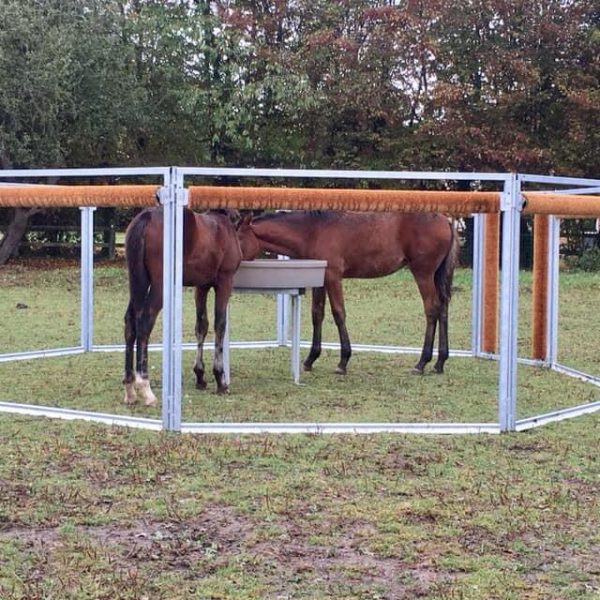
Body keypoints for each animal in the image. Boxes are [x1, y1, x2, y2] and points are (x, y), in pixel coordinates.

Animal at [124, 205, 248, 404]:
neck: (224, 225)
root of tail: (147, 217)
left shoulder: (202, 286)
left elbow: (201, 326)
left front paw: (200, 376)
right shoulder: (224, 282)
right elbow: (220, 325)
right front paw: (220, 380)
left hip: (139, 283)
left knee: (130, 323)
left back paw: (129, 388)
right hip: (159, 287)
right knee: (144, 323)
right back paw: (145, 388)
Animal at [239, 209, 460, 372]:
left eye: (238, 238)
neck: (313, 231)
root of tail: (446, 221)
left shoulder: (333, 278)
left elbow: (339, 314)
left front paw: (343, 361)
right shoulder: (321, 280)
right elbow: (317, 314)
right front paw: (310, 359)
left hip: (423, 274)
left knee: (432, 310)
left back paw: (422, 363)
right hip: (436, 276)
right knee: (443, 309)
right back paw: (440, 362)